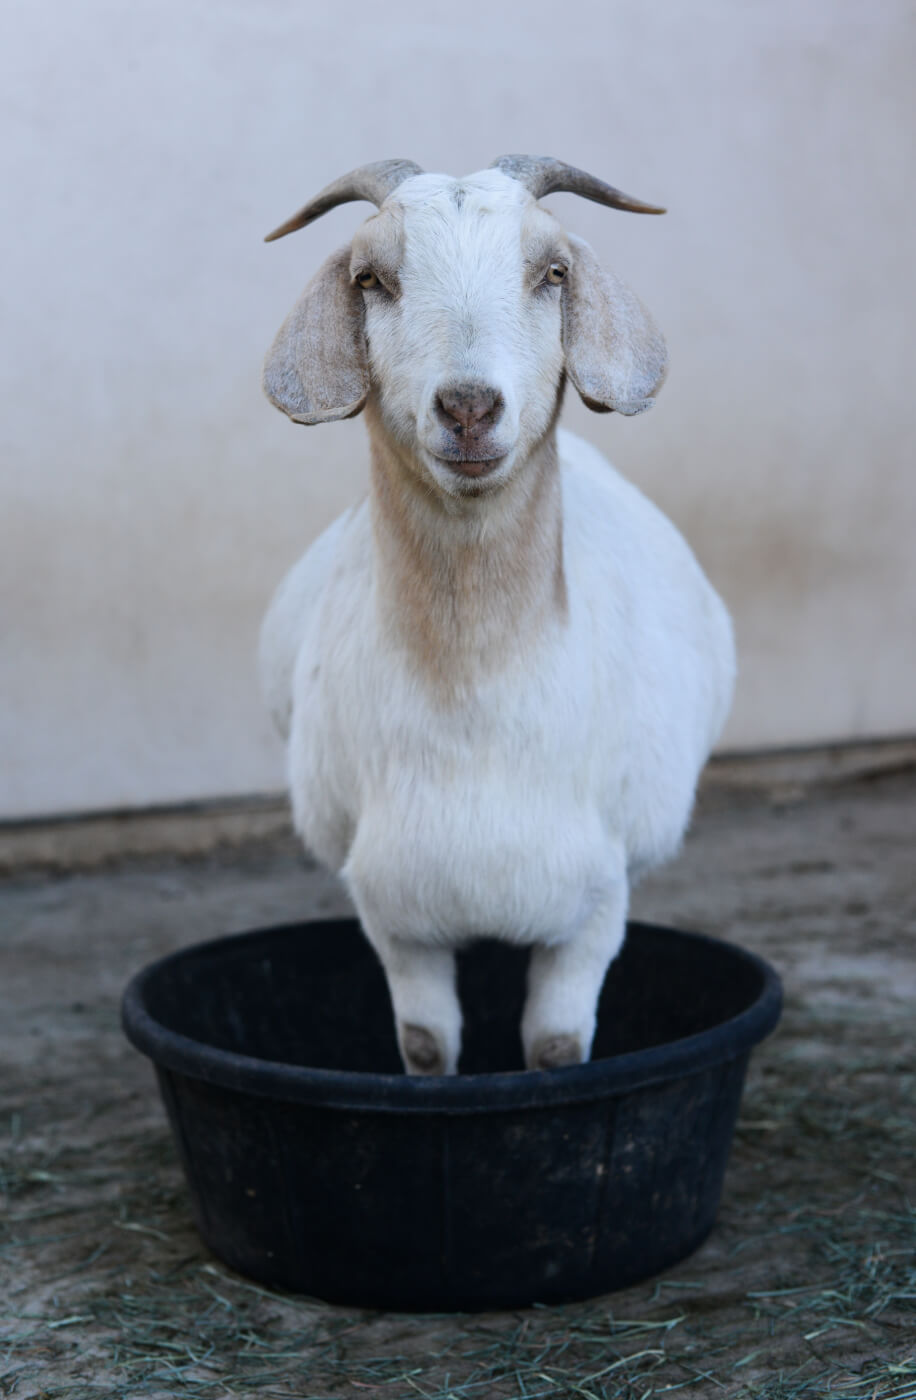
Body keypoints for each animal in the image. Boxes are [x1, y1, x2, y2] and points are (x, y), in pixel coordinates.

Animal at [260, 156, 739, 1069]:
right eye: (370, 278)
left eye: (552, 272)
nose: (470, 408)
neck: (473, 689)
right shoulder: (395, 914)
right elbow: (424, 1045)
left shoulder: (594, 903)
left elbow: (554, 1048)